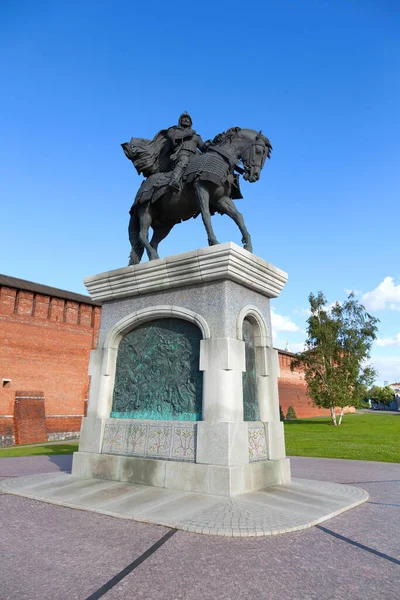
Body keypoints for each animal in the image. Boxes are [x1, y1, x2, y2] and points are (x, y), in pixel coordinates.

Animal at [125, 127, 272, 264]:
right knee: (142, 235)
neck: (222, 160)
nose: (254, 175)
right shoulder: (201, 188)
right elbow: (206, 214)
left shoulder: (221, 199)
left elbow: (238, 216)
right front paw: (213, 242)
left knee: (153, 242)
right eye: (259, 152)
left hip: (165, 224)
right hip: (145, 210)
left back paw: (154, 258)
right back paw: (153, 256)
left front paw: (248, 245)